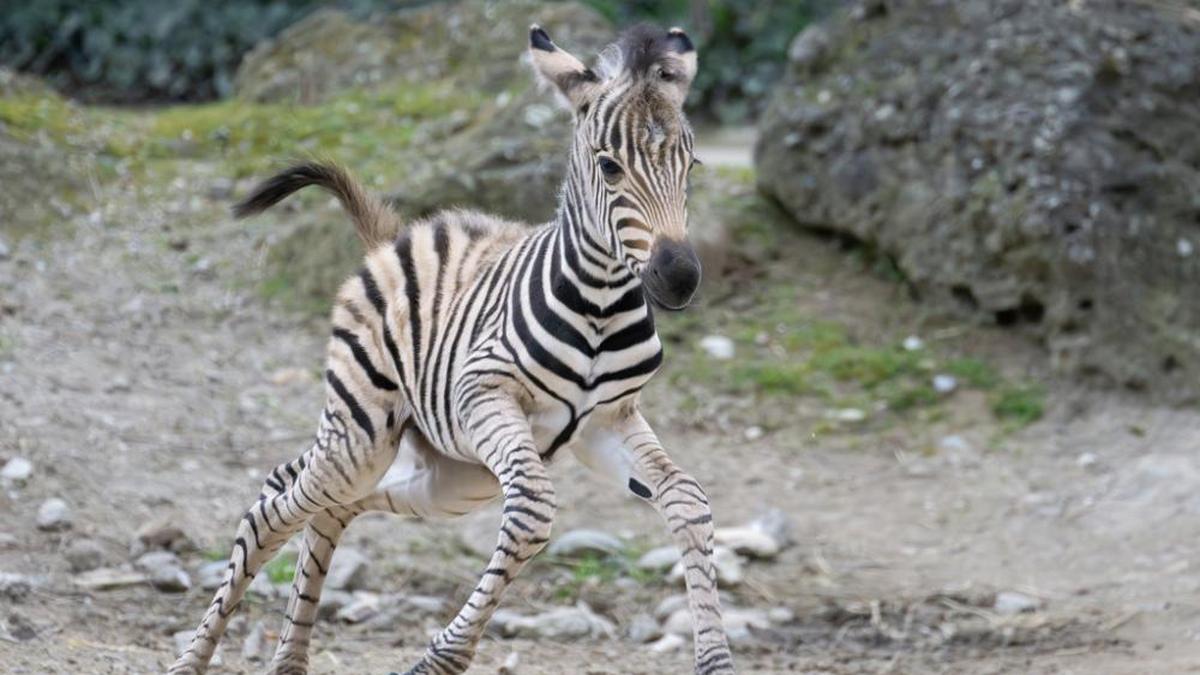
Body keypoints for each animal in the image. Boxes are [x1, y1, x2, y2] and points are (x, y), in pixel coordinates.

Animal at [168, 21, 729, 672]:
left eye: (691, 165)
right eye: (609, 168)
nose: (680, 278)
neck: (601, 306)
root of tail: (393, 238)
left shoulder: (607, 421)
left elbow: (687, 499)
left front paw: (716, 658)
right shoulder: (483, 393)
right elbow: (532, 511)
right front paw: (442, 656)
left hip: (454, 478)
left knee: (330, 505)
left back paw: (290, 661)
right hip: (363, 436)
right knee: (270, 511)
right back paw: (194, 660)